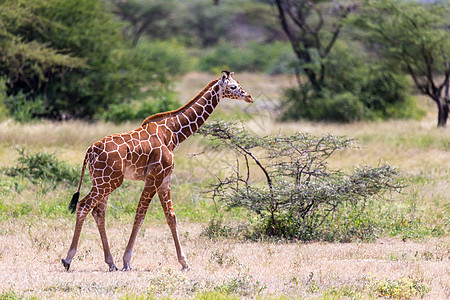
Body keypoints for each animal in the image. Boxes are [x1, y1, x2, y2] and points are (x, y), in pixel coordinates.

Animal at [60, 71, 253, 272]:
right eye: (233, 86)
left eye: (238, 84)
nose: (249, 97)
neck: (173, 133)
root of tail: (91, 150)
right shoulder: (154, 177)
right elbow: (140, 215)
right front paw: (127, 261)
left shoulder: (165, 179)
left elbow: (171, 217)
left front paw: (184, 262)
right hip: (110, 181)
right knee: (84, 206)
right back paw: (68, 259)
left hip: (101, 180)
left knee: (98, 212)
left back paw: (110, 262)